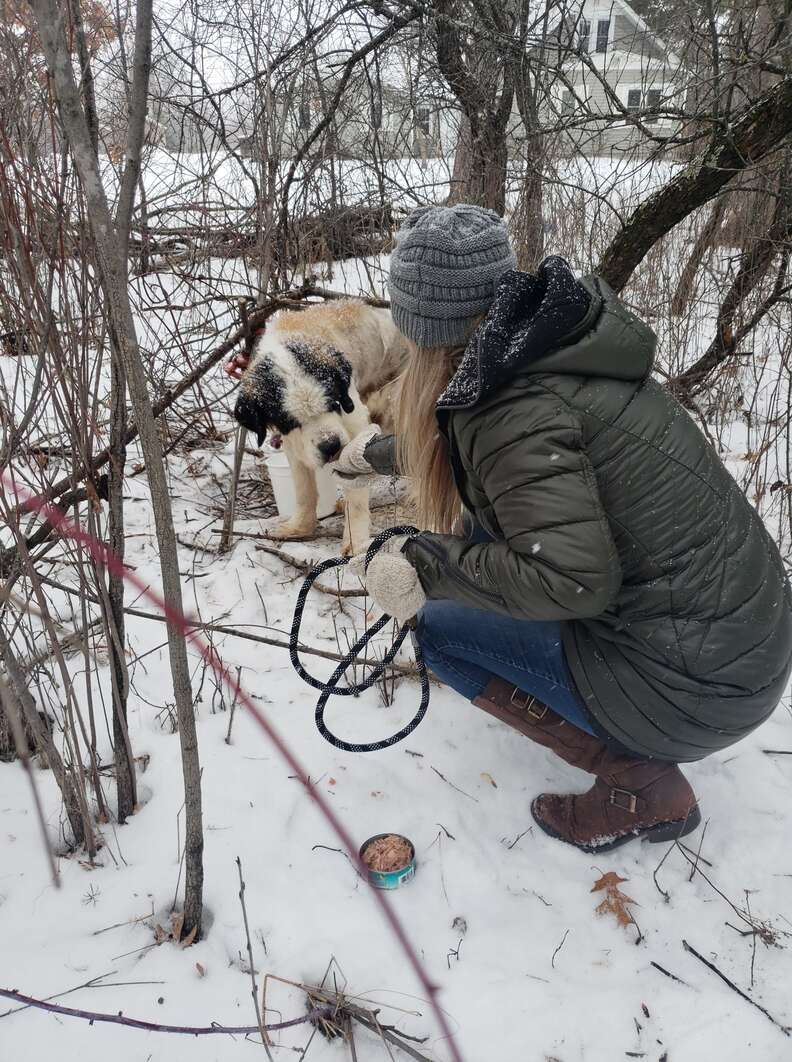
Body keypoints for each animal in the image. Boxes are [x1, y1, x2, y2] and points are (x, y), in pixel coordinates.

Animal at [232, 299, 407, 556]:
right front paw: (300, 526)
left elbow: (355, 496)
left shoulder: (354, 420)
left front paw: (354, 541)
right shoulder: (293, 443)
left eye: (333, 403)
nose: (330, 445)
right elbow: (304, 489)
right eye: (290, 421)